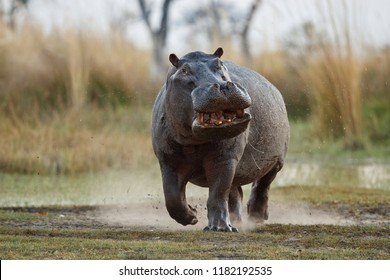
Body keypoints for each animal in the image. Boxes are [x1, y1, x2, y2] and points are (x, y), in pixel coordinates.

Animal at [152, 47, 290, 232]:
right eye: (184, 70)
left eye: (220, 64)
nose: (223, 86)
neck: (194, 141)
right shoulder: (167, 160)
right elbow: (172, 198)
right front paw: (192, 216)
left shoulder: (225, 159)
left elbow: (218, 192)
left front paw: (220, 228)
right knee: (235, 192)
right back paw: (237, 220)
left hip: (276, 160)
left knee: (262, 184)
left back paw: (256, 218)